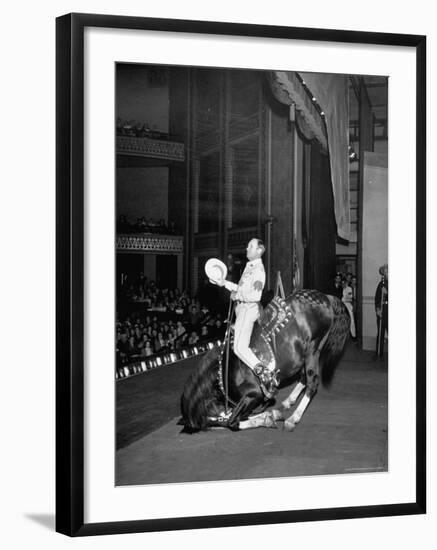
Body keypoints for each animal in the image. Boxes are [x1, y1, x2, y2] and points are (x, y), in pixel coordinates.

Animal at [179, 292, 350, 434]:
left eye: (203, 424)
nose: (212, 425)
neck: (226, 371)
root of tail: (326, 298)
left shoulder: (253, 395)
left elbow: (233, 421)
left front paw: (269, 417)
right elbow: (239, 417)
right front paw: (272, 414)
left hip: (313, 349)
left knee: (312, 382)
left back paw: (293, 419)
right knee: (304, 377)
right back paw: (287, 402)